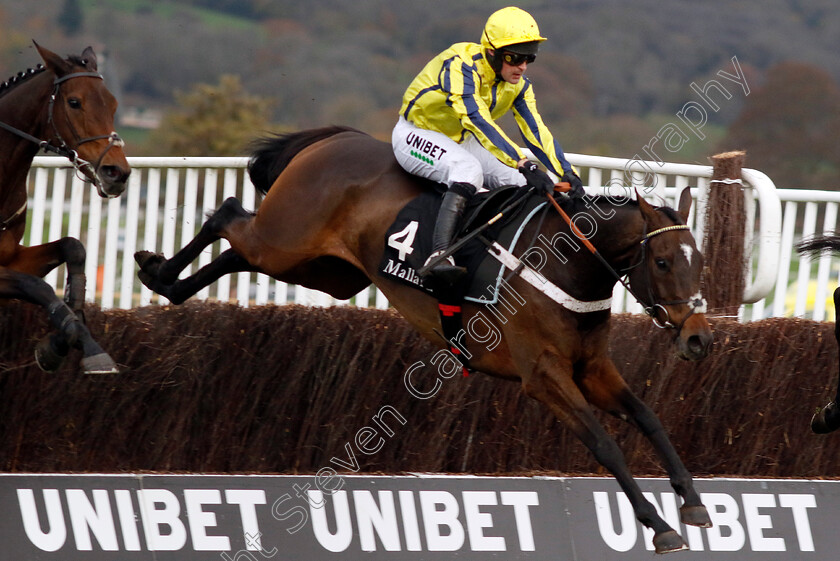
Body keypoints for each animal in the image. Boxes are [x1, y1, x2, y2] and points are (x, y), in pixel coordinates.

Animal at [0, 43, 130, 374]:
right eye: (74, 102)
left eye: (113, 104)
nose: (117, 173)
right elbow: (37, 286)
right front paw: (65, 341)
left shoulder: (12, 257)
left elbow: (73, 247)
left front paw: (75, 332)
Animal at [138, 126, 716, 552]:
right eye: (663, 263)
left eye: (700, 262)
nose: (697, 339)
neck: (566, 263)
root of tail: (336, 138)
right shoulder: (543, 374)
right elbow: (604, 443)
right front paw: (659, 525)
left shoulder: (592, 368)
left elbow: (648, 418)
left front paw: (692, 502)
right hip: (286, 241)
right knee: (227, 214)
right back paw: (156, 269)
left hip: (322, 271)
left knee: (238, 251)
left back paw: (168, 281)